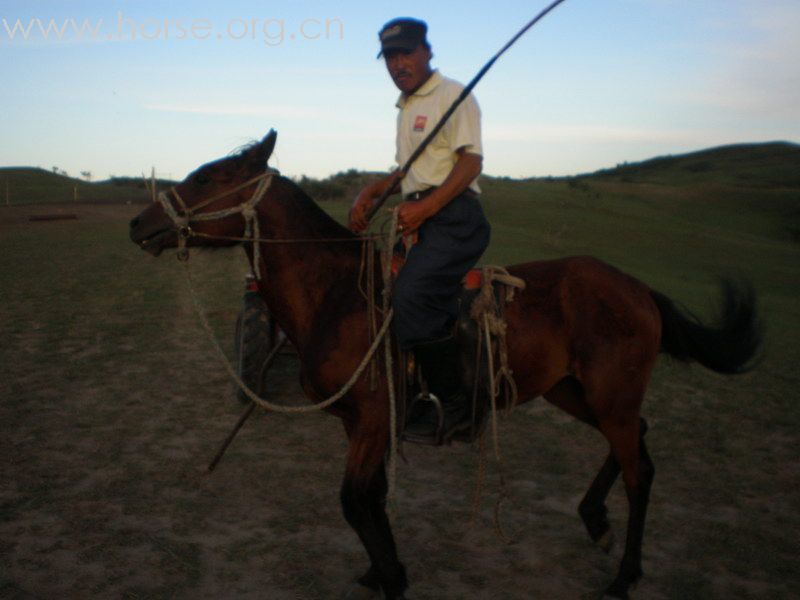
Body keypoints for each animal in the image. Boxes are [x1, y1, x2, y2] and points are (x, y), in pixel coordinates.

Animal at [128, 132, 760, 600]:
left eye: (206, 177)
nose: (139, 224)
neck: (338, 294)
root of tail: (637, 288)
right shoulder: (363, 423)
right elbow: (372, 497)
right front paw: (383, 570)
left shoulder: (373, 418)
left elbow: (353, 500)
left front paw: (393, 578)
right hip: (575, 391)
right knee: (636, 441)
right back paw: (595, 520)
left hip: (610, 397)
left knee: (640, 472)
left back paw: (624, 575)